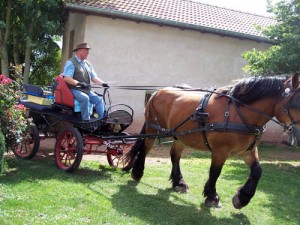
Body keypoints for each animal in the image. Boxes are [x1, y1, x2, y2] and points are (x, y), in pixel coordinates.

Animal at [123, 73, 300, 209]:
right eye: (295, 104)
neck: (239, 113)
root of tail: (157, 92)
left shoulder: (248, 150)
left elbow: (257, 171)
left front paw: (242, 198)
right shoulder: (220, 150)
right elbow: (215, 172)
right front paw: (212, 196)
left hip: (180, 136)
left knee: (175, 156)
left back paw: (179, 182)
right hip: (152, 130)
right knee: (145, 149)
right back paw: (137, 172)